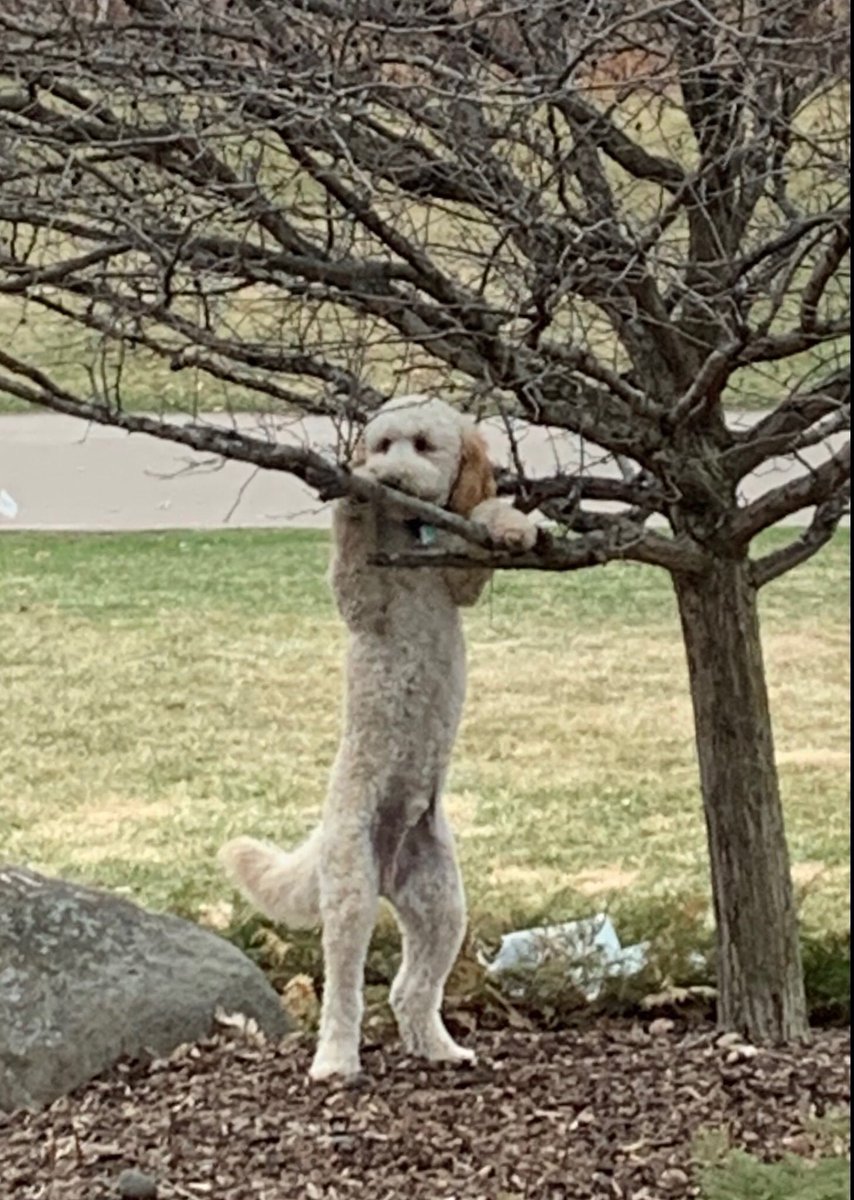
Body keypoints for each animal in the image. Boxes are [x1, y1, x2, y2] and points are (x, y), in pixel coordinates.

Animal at [223, 393, 537, 1080]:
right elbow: (351, 574)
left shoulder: (457, 580)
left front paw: (512, 524)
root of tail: (388, 864)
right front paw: (351, 500)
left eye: (422, 444)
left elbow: (475, 530)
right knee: (344, 988)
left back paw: (438, 1047)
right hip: (350, 890)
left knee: (408, 989)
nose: (387, 477)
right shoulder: (364, 601)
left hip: (441, 902)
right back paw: (336, 1060)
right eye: (381, 444)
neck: (409, 532)